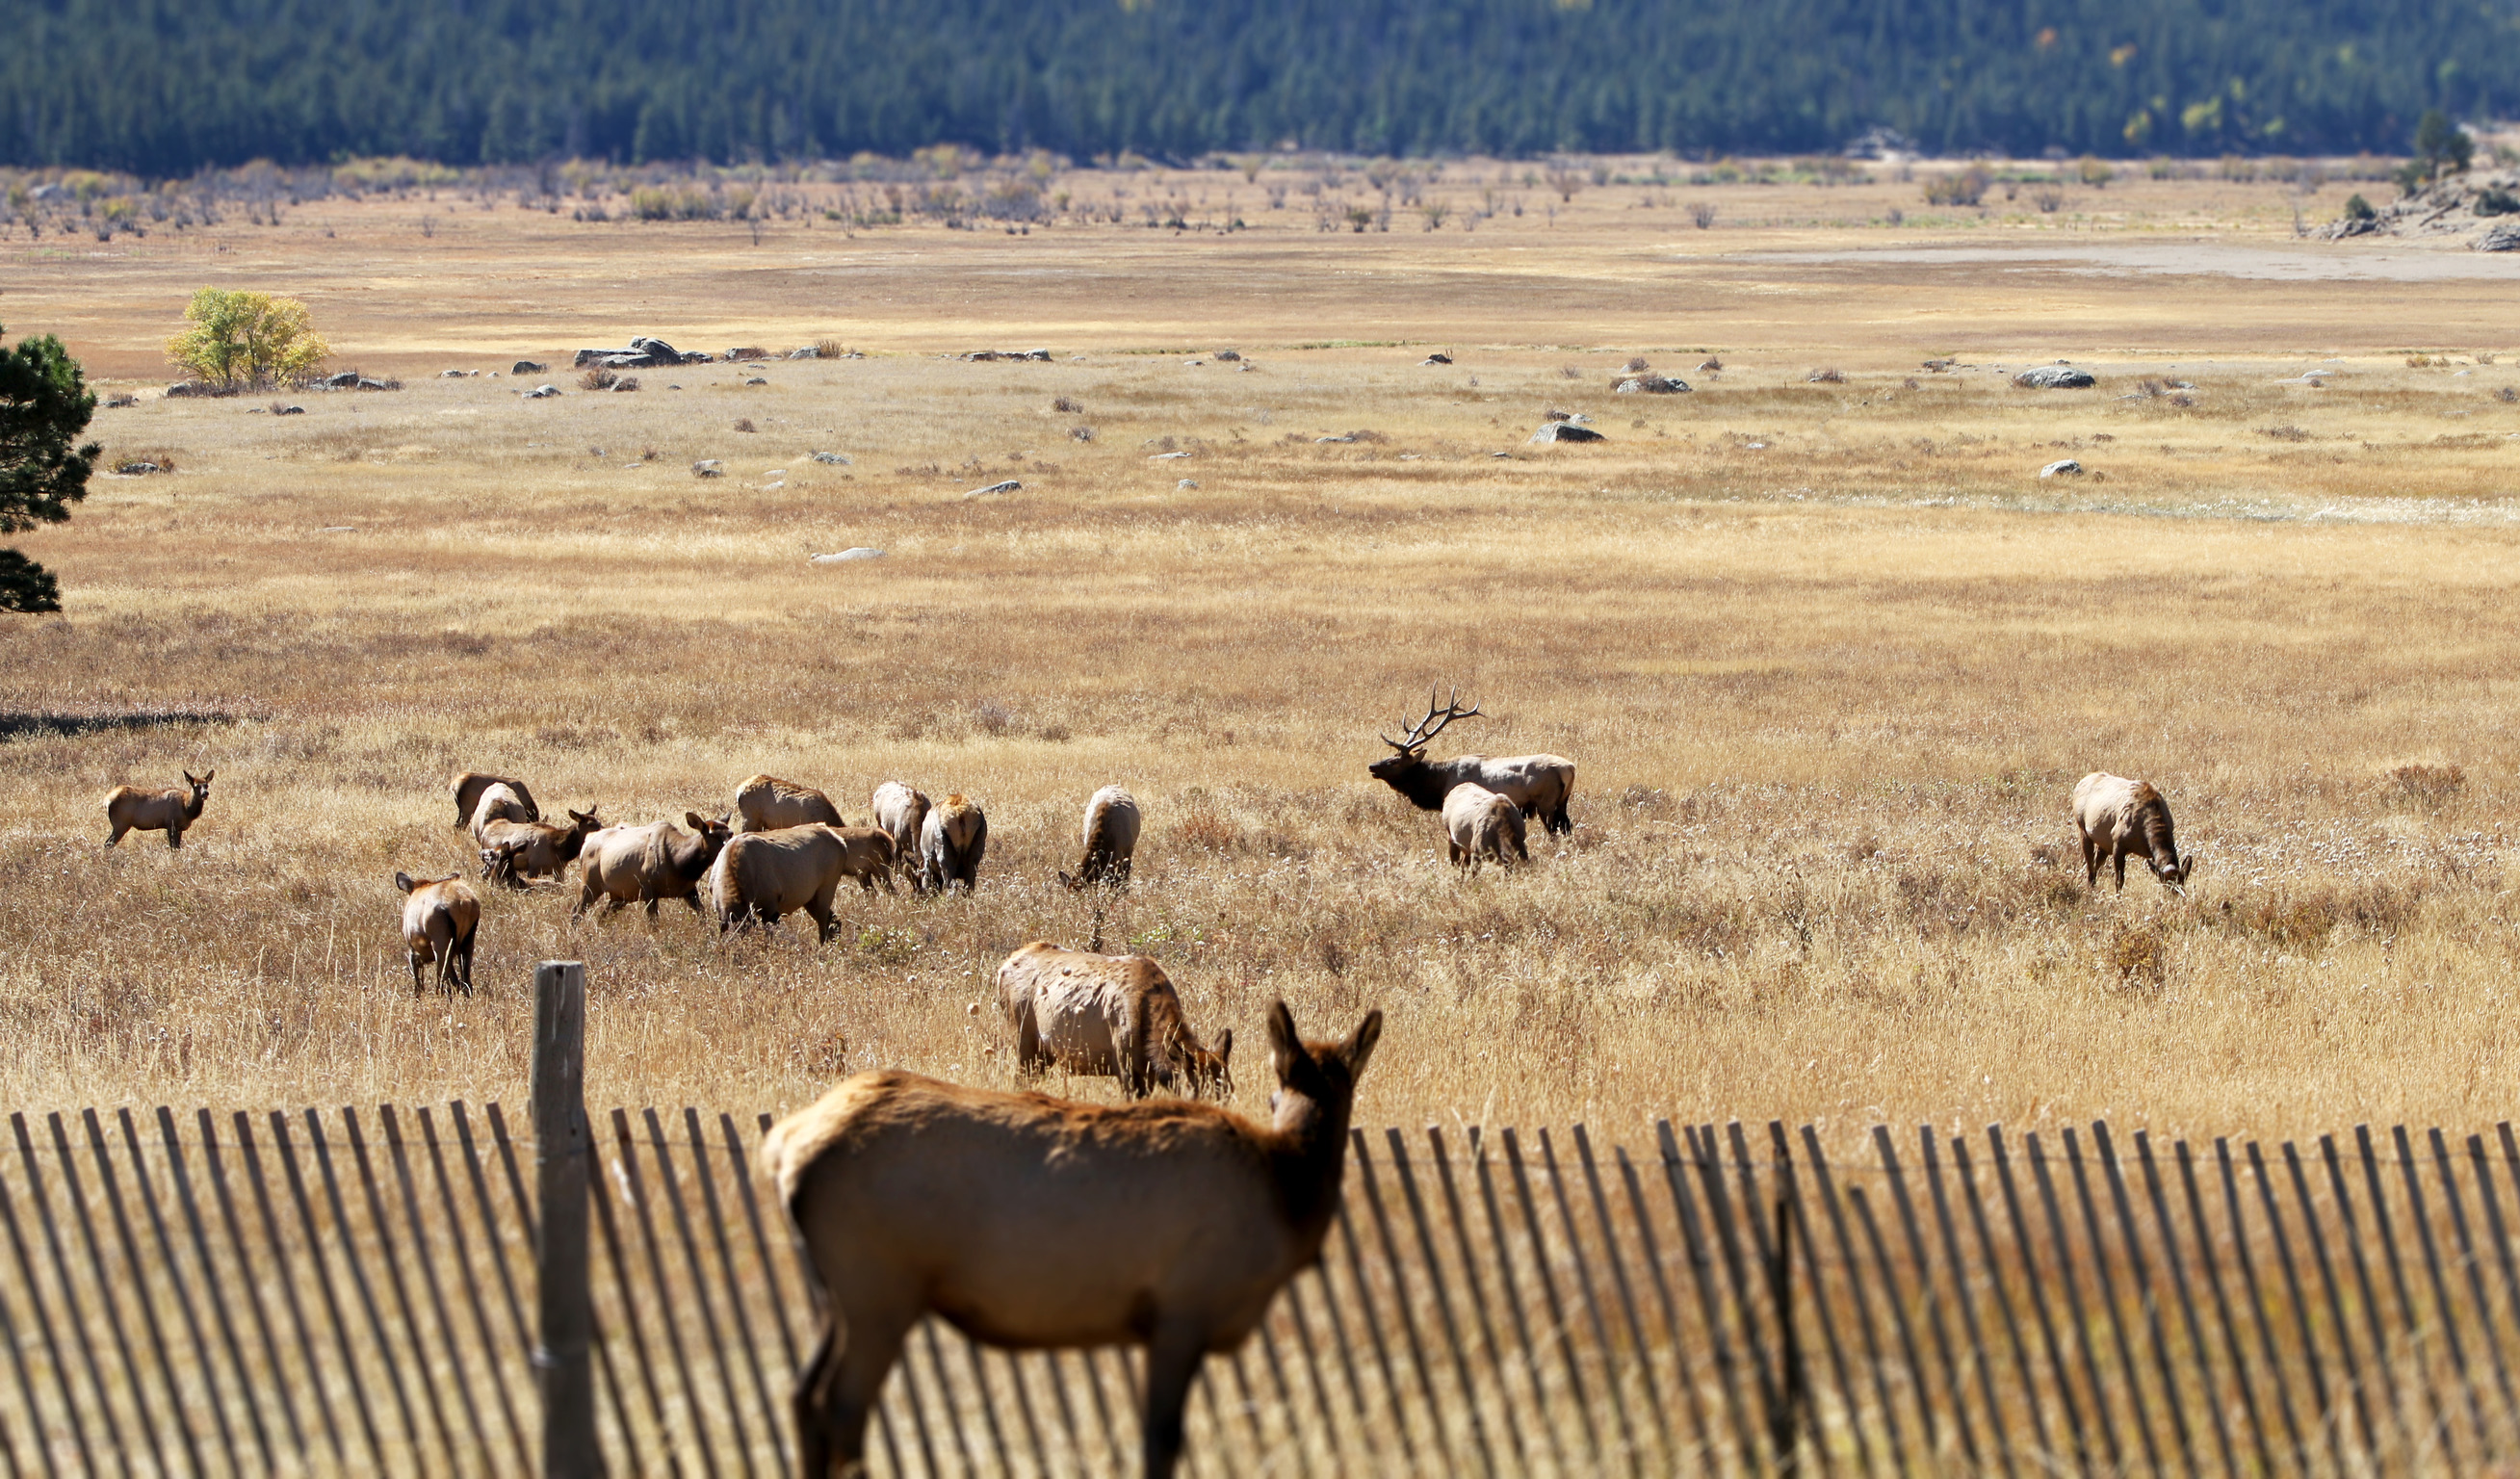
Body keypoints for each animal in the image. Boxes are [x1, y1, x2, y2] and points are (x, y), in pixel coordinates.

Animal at [766, 999, 1379, 1479]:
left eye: (1340, 1095)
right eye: (1273, 1100)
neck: (1284, 1195)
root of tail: (785, 1148)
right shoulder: (1183, 1310)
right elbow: (1160, 1441)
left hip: (838, 1296)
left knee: (801, 1396)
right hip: (878, 1288)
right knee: (841, 1409)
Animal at [1367, 686, 1576, 835]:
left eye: (1394, 762)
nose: (1372, 766)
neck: (1439, 783)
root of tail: (1570, 768)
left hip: (1546, 803)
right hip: (1562, 803)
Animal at [2072, 773, 2196, 892]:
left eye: (2183, 882)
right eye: (2167, 884)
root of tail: (2079, 784)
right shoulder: (2118, 843)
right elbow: (2119, 880)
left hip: (2104, 843)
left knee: (2096, 863)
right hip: (2083, 830)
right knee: (2090, 864)